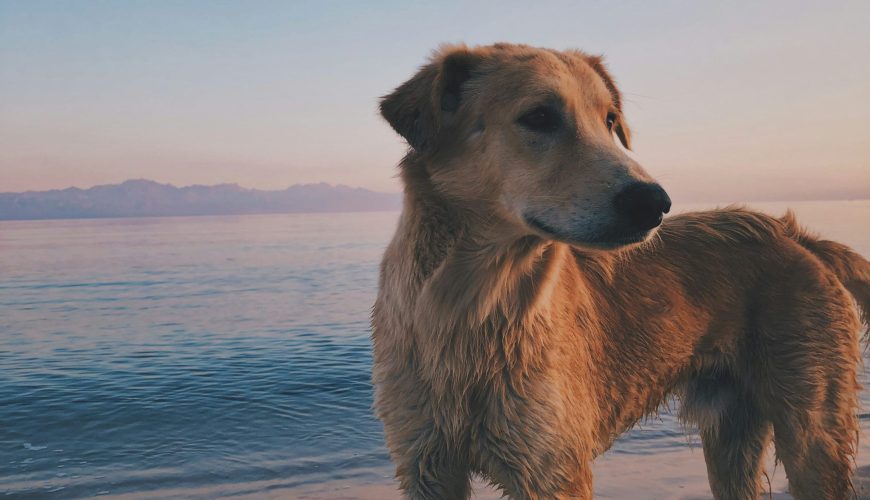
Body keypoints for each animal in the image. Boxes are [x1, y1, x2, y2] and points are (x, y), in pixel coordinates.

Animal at [370, 44, 870, 500]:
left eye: (611, 121)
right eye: (539, 116)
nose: (655, 203)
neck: (472, 305)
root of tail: (793, 234)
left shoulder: (551, 470)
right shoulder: (426, 466)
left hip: (812, 432)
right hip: (732, 434)